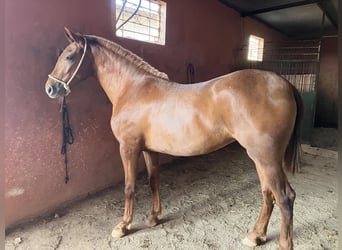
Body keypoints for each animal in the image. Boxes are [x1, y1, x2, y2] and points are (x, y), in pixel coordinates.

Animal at [44, 27, 302, 250]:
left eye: (69, 57)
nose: (50, 89)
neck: (133, 89)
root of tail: (285, 84)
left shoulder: (128, 148)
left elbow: (129, 186)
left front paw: (123, 226)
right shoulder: (149, 149)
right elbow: (154, 180)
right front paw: (154, 217)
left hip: (266, 157)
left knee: (284, 197)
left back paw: (283, 243)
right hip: (259, 157)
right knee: (268, 194)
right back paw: (255, 235)